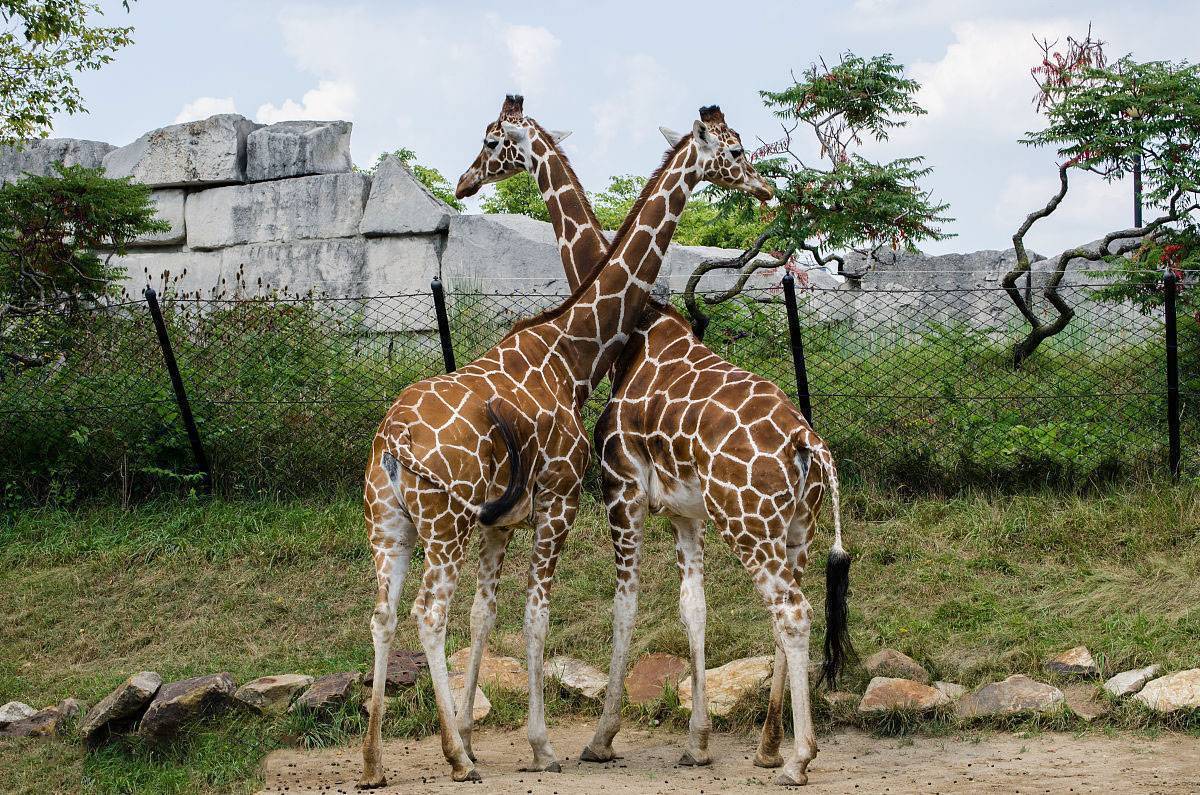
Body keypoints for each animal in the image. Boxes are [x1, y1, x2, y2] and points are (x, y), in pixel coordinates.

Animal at [355, 102, 772, 787]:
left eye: (489, 142)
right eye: (735, 152)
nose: (464, 182)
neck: (574, 349)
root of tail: (393, 438)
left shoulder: (509, 521)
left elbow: (492, 614)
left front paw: (477, 732)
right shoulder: (562, 501)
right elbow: (535, 615)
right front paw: (538, 744)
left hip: (391, 525)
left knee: (385, 614)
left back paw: (375, 762)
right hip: (441, 524)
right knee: (425, 614)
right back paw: (454, 760)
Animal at [453, 96, 859, 787]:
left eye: (488, 141)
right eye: (735, 147)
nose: (463, 182)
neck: (633, 335)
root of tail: (808, 441)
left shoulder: (621, 493)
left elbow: (626, 606)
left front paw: (600, 739)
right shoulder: (683, 514)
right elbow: (693, 611)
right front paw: (697, 742)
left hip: (749, 523)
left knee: (792, 612)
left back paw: (798, 760)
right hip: (796, 529)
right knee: (791, 612)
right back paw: (770, 746)